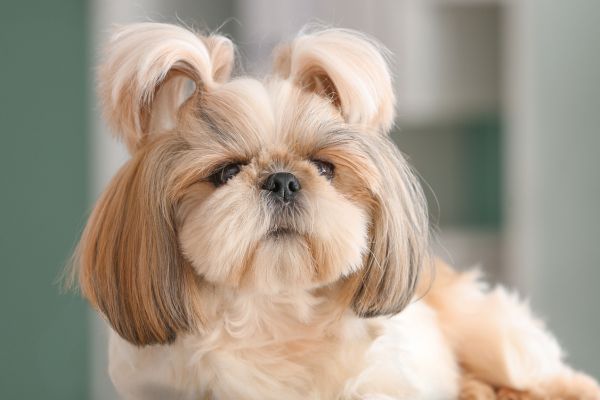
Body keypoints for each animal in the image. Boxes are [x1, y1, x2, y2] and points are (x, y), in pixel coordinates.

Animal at [74, 22, 600, 400]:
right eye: (226, 172)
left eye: (325, 168)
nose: (282, 179)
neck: (275, 315)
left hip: (493, 335)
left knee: (540, 373)